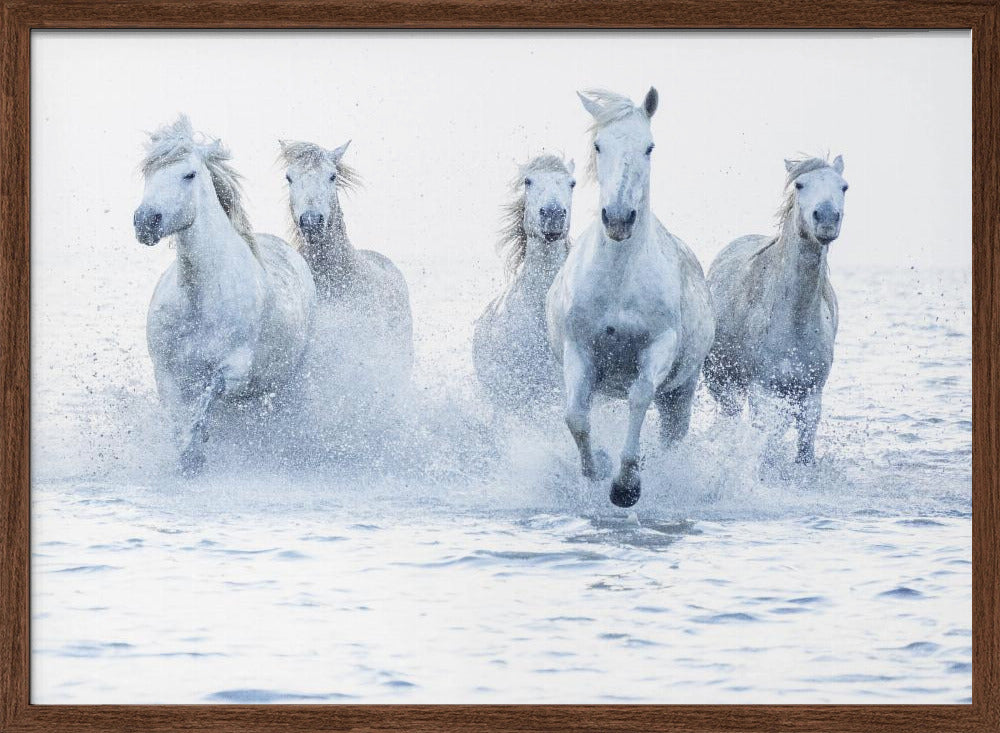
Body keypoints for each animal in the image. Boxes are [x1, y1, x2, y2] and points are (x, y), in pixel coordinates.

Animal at [134, 116, 316, 477]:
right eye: (148, 172)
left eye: (188, 174)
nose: (145, 221)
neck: (200, 299)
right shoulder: (165, 373)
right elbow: (179, 418)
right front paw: (187, 454)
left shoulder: (234, 370)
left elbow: (207, 400)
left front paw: (194, 454)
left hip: (284, 383)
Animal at [546, 88, 715, 508]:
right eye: (598, 145)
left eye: (649, 147)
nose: (619, 218)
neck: (619, 280)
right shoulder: (579, 350)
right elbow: (575, 417)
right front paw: (597, 468)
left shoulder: (659, 346)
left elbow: (639, 397)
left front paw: (626, 485)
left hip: (681, 391)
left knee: (673, 435)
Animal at [703, 156, 846, 465]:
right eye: (800, 184)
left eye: (844, 186)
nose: (827, 218)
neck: (794, 319)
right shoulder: (761, 391)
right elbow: (764, 441)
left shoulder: (810, 395)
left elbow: (804, 449)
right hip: (723, 384)